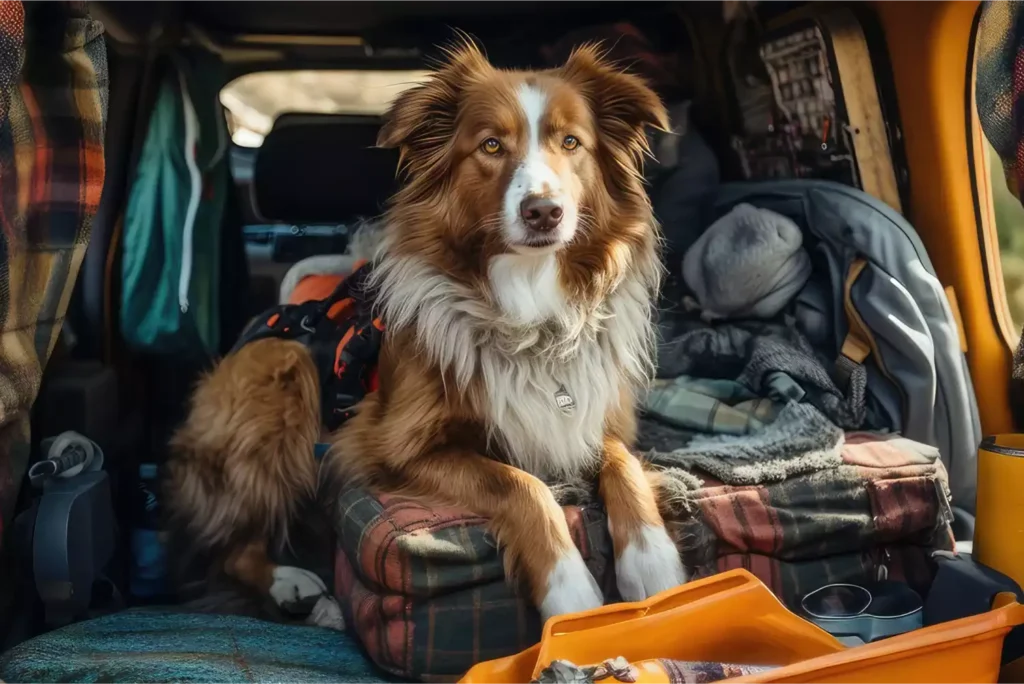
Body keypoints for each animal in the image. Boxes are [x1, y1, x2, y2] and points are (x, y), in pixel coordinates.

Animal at [165, 40, 688, 622]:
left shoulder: (589, 420)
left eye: (571, 142)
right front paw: (567, 586)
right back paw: (289, 583)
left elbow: (625, 467)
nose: (544, 212)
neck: (529, 309)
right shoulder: (394, 448)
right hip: (281, 372)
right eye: (490, 145)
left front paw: (653, 560)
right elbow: (520, 483)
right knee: (229, 546)